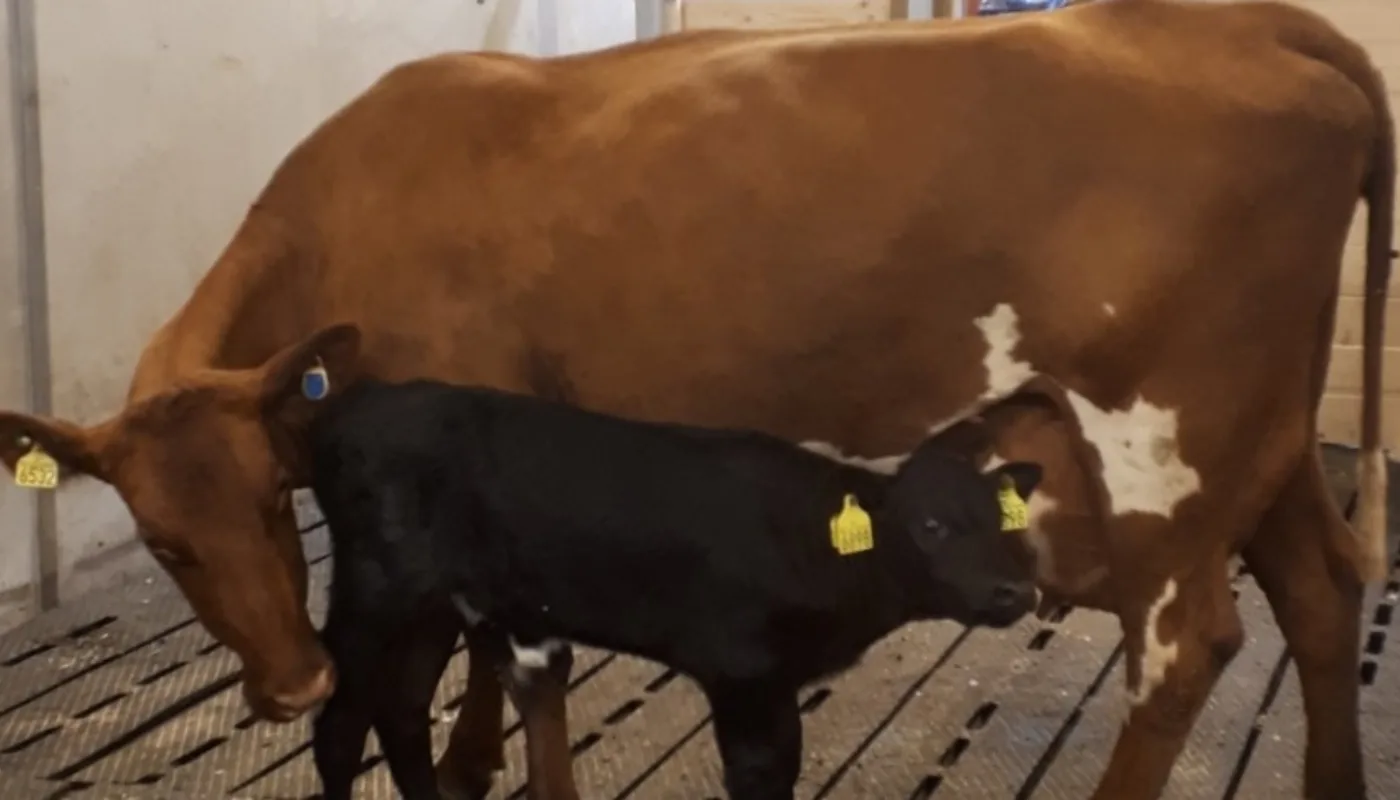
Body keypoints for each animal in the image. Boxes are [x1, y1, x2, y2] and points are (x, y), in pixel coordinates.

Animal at [300, 373, 1045, 800]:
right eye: (931, 524)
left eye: (1007, 521)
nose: (1014, 592)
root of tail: (354, 405)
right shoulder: (742, 675)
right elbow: (759, 779)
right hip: (372, 591)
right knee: (338, 724)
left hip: (430, 604)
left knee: (400, 714)